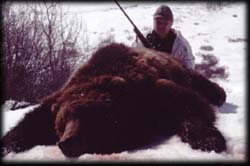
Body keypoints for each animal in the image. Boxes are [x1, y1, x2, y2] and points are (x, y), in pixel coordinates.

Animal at [0, 42, 227, 157]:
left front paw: (208, 140)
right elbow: (33, 120)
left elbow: (191, 104)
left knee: (198, 81)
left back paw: (219, 93)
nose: (67, 142)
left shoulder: (152, 92)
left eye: (89, 118)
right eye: (63, 122)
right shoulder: (58, 98)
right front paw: (7, 144)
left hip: (181, 69)